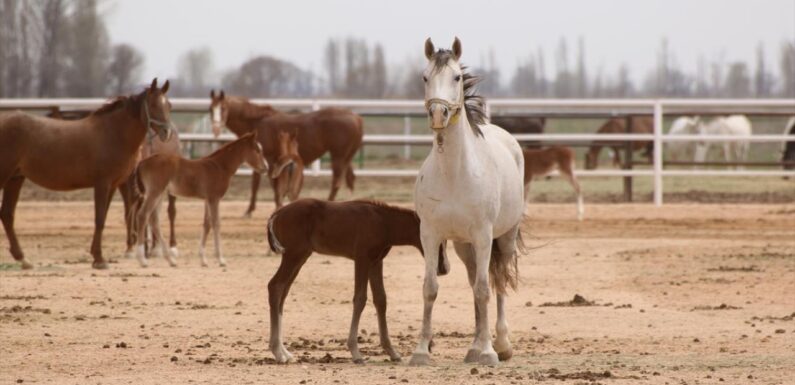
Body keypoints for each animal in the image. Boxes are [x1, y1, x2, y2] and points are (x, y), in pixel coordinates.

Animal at [0, 79, 174, 268]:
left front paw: (95, 256)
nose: (167, 133)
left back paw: (23, 259)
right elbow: (99, 218)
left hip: (15, 178)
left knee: (7, 215)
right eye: (153, 104)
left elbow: (103, 217)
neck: (112, 133)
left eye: (169, 105)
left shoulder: (112, 185)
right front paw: (99, 259)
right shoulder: (102, 184)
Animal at [131, 132, 266, 268]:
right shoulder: (214, 198)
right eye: (257, 150)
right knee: (143, 215)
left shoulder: (207, 199)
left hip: (159, 194)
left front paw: (203, 260)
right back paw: (143, 260)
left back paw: (171, 260)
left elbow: (207, 224)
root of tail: (142, 163)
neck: (220, 166)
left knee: (154, 220)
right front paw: (221, 259)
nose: (265, 168)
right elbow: (216, 223)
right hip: (155, 193)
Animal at [208, 91, 364, 214]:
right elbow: (258, 184)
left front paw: (250, 211)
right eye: (210, 109)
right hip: (347, 157)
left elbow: (266, 185)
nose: (215, 129)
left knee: (336, 182)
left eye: (223, 108)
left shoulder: (268, 160)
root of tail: (356, 118)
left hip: (338, 156)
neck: (258, 122)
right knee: (350, 180)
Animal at [266, 198, 448, 364]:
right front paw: (356, 353)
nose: (443, 268)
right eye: (440, 241)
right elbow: (360, 299)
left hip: (301, 256)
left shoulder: (376, 262)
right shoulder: (362, 259)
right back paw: (278, 353)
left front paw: (392, 352)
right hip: (293, 255)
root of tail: (278, 213)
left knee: (283, 291)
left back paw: (284, 352)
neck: (384, 222)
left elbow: (381, 300)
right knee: (275, 286)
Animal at [410, 37, 528, 364]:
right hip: (464, 246)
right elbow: (430, 288)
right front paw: (421, 351)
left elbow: (485, 290)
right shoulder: (430, 234)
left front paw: (489, 352)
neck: (454, 173)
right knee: (475, 277)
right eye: (425, 77)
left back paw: (499, 344)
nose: (438, 115)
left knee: (497, 280)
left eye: (456, 77)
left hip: (504, 238)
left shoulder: (484, 235)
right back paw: (474, 346)